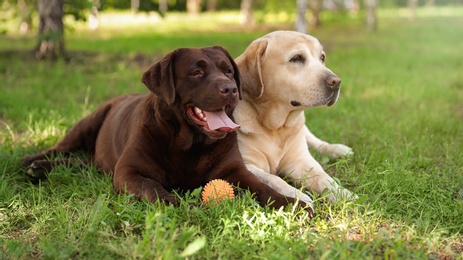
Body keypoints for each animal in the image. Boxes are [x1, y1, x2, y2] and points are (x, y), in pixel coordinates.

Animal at [20, 46, 312, 215]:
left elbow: (263, 188)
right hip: (89, 121)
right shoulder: (128, 172)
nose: (230, 88)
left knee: (81, 163)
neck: (190, 143)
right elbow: (153, 188)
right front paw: (178, 204)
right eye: (196, 73)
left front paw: (292, 204)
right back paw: (33, 161)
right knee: (60, 148)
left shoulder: (234, 170)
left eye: (229, 71)